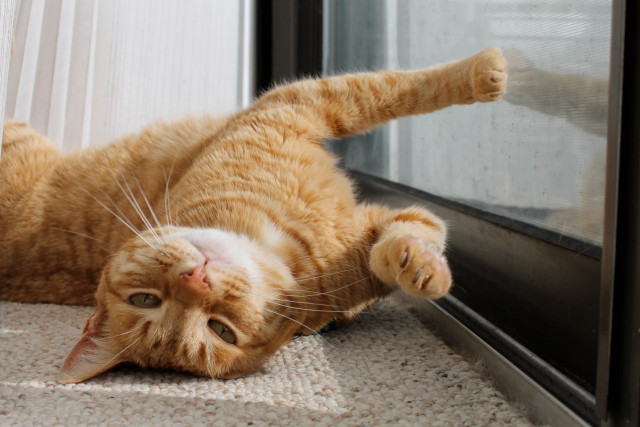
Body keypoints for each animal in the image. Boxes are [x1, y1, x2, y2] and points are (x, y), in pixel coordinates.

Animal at [2, 47, 508, 384]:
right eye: (220, 330)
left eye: (142, 299)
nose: (197, 279)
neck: (289, 243)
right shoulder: (299, 104)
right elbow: (388, 94)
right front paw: (487, 70)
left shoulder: (304, 109)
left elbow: (393, 98)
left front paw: (419, 267)